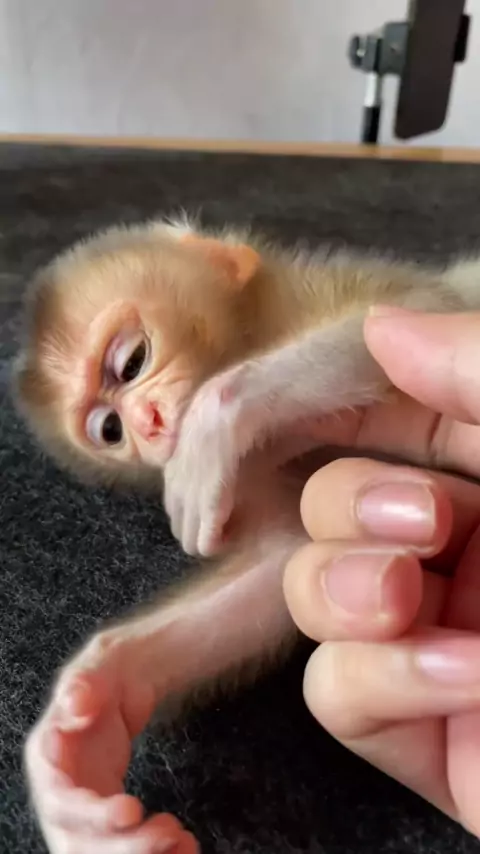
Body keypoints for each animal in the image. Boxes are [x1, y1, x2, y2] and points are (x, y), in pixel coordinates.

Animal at [13, 214, 480, 854]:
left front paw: (211, 424)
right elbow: (279, 565)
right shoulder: (258, 484)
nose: (149, 426)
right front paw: (82, 732)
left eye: (131, 362)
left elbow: (423, 310)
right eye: (110, 430)